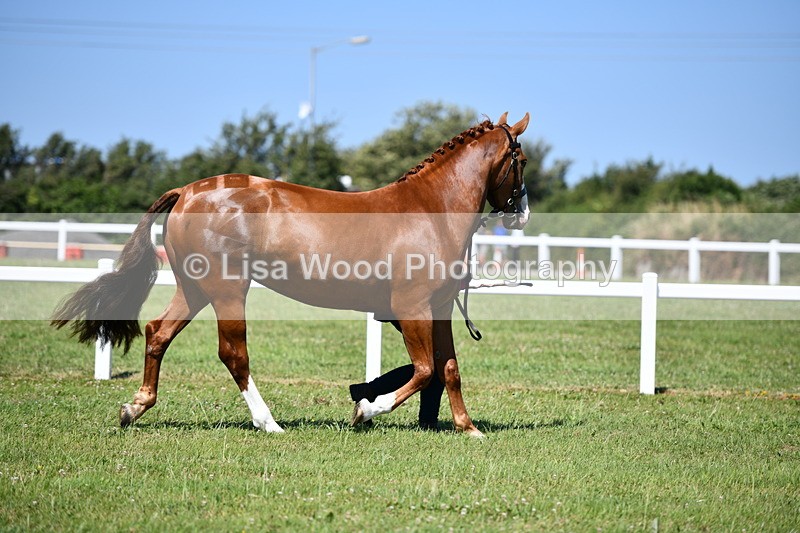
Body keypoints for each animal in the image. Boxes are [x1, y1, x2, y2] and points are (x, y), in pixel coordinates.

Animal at [52, 112, 531, 438]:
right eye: (521, 159)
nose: (522, 213)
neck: (430, 210)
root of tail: (187, 191)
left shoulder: (439, 307)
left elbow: (449, 367)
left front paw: (468, 427)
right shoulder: (412, 307)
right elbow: (425, 369)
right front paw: (365, 410)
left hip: (194, 288)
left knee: (158, 333)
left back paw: (135, 407)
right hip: (227, 289)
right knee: (233, 354)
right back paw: (268, 423)